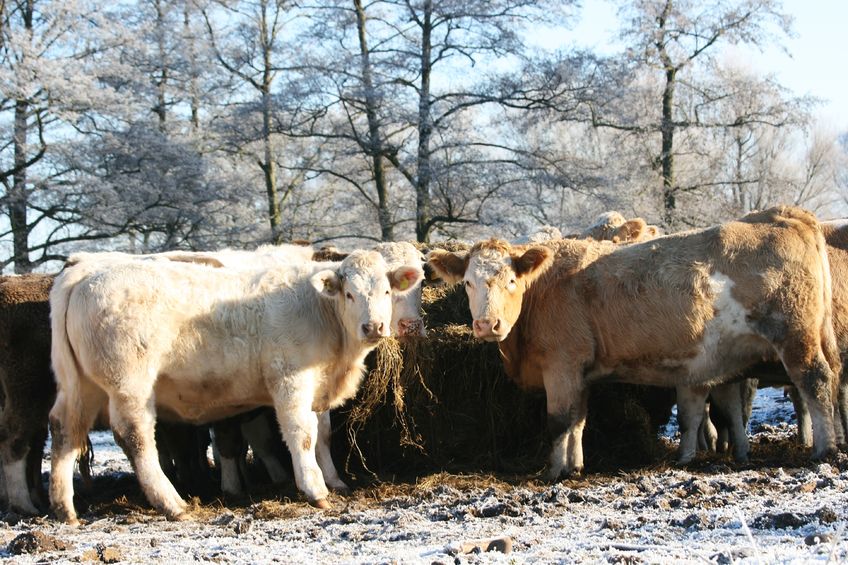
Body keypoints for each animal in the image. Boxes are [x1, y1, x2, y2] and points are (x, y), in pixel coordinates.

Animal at [49, 249, 424, 524]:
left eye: (387, 291)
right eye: (349, 294)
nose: (373, 326)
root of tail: (86, 270)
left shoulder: (317, 386)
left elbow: (324, 436)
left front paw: (335, 481)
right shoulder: (290, 380)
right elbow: (302, 434)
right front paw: (315, 490)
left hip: (81, 386)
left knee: (64, 429)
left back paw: (64, 508)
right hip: (129, 384)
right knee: (136, 437)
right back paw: (172, 504)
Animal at [430, 205, 840, 478]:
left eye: (511, 280)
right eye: (468, 282)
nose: (487, 324)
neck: (543, 290)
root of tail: (785, 214)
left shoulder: (561, 365)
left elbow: (559, 422)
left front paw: (554, 473)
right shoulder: (580, 372)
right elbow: (578, 421)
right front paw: (575, 467)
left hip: (795, 337)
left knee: (816, 383)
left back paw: (824, 449)